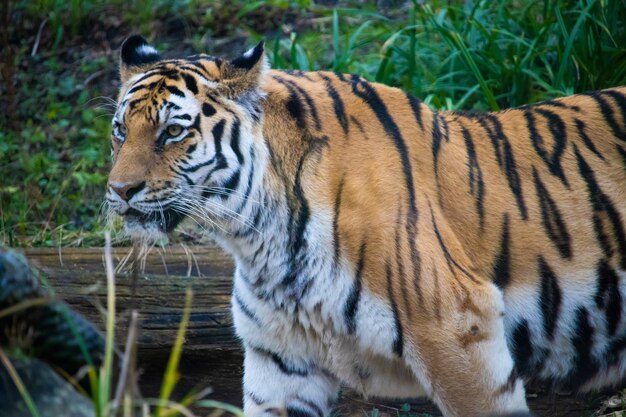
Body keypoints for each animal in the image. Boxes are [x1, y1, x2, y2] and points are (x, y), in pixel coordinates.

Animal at [105, 35, 624, 416]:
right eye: (120, 131)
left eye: (174, 132)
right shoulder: (280, 360)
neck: (257, 238)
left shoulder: (456, 329)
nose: (119, 190)